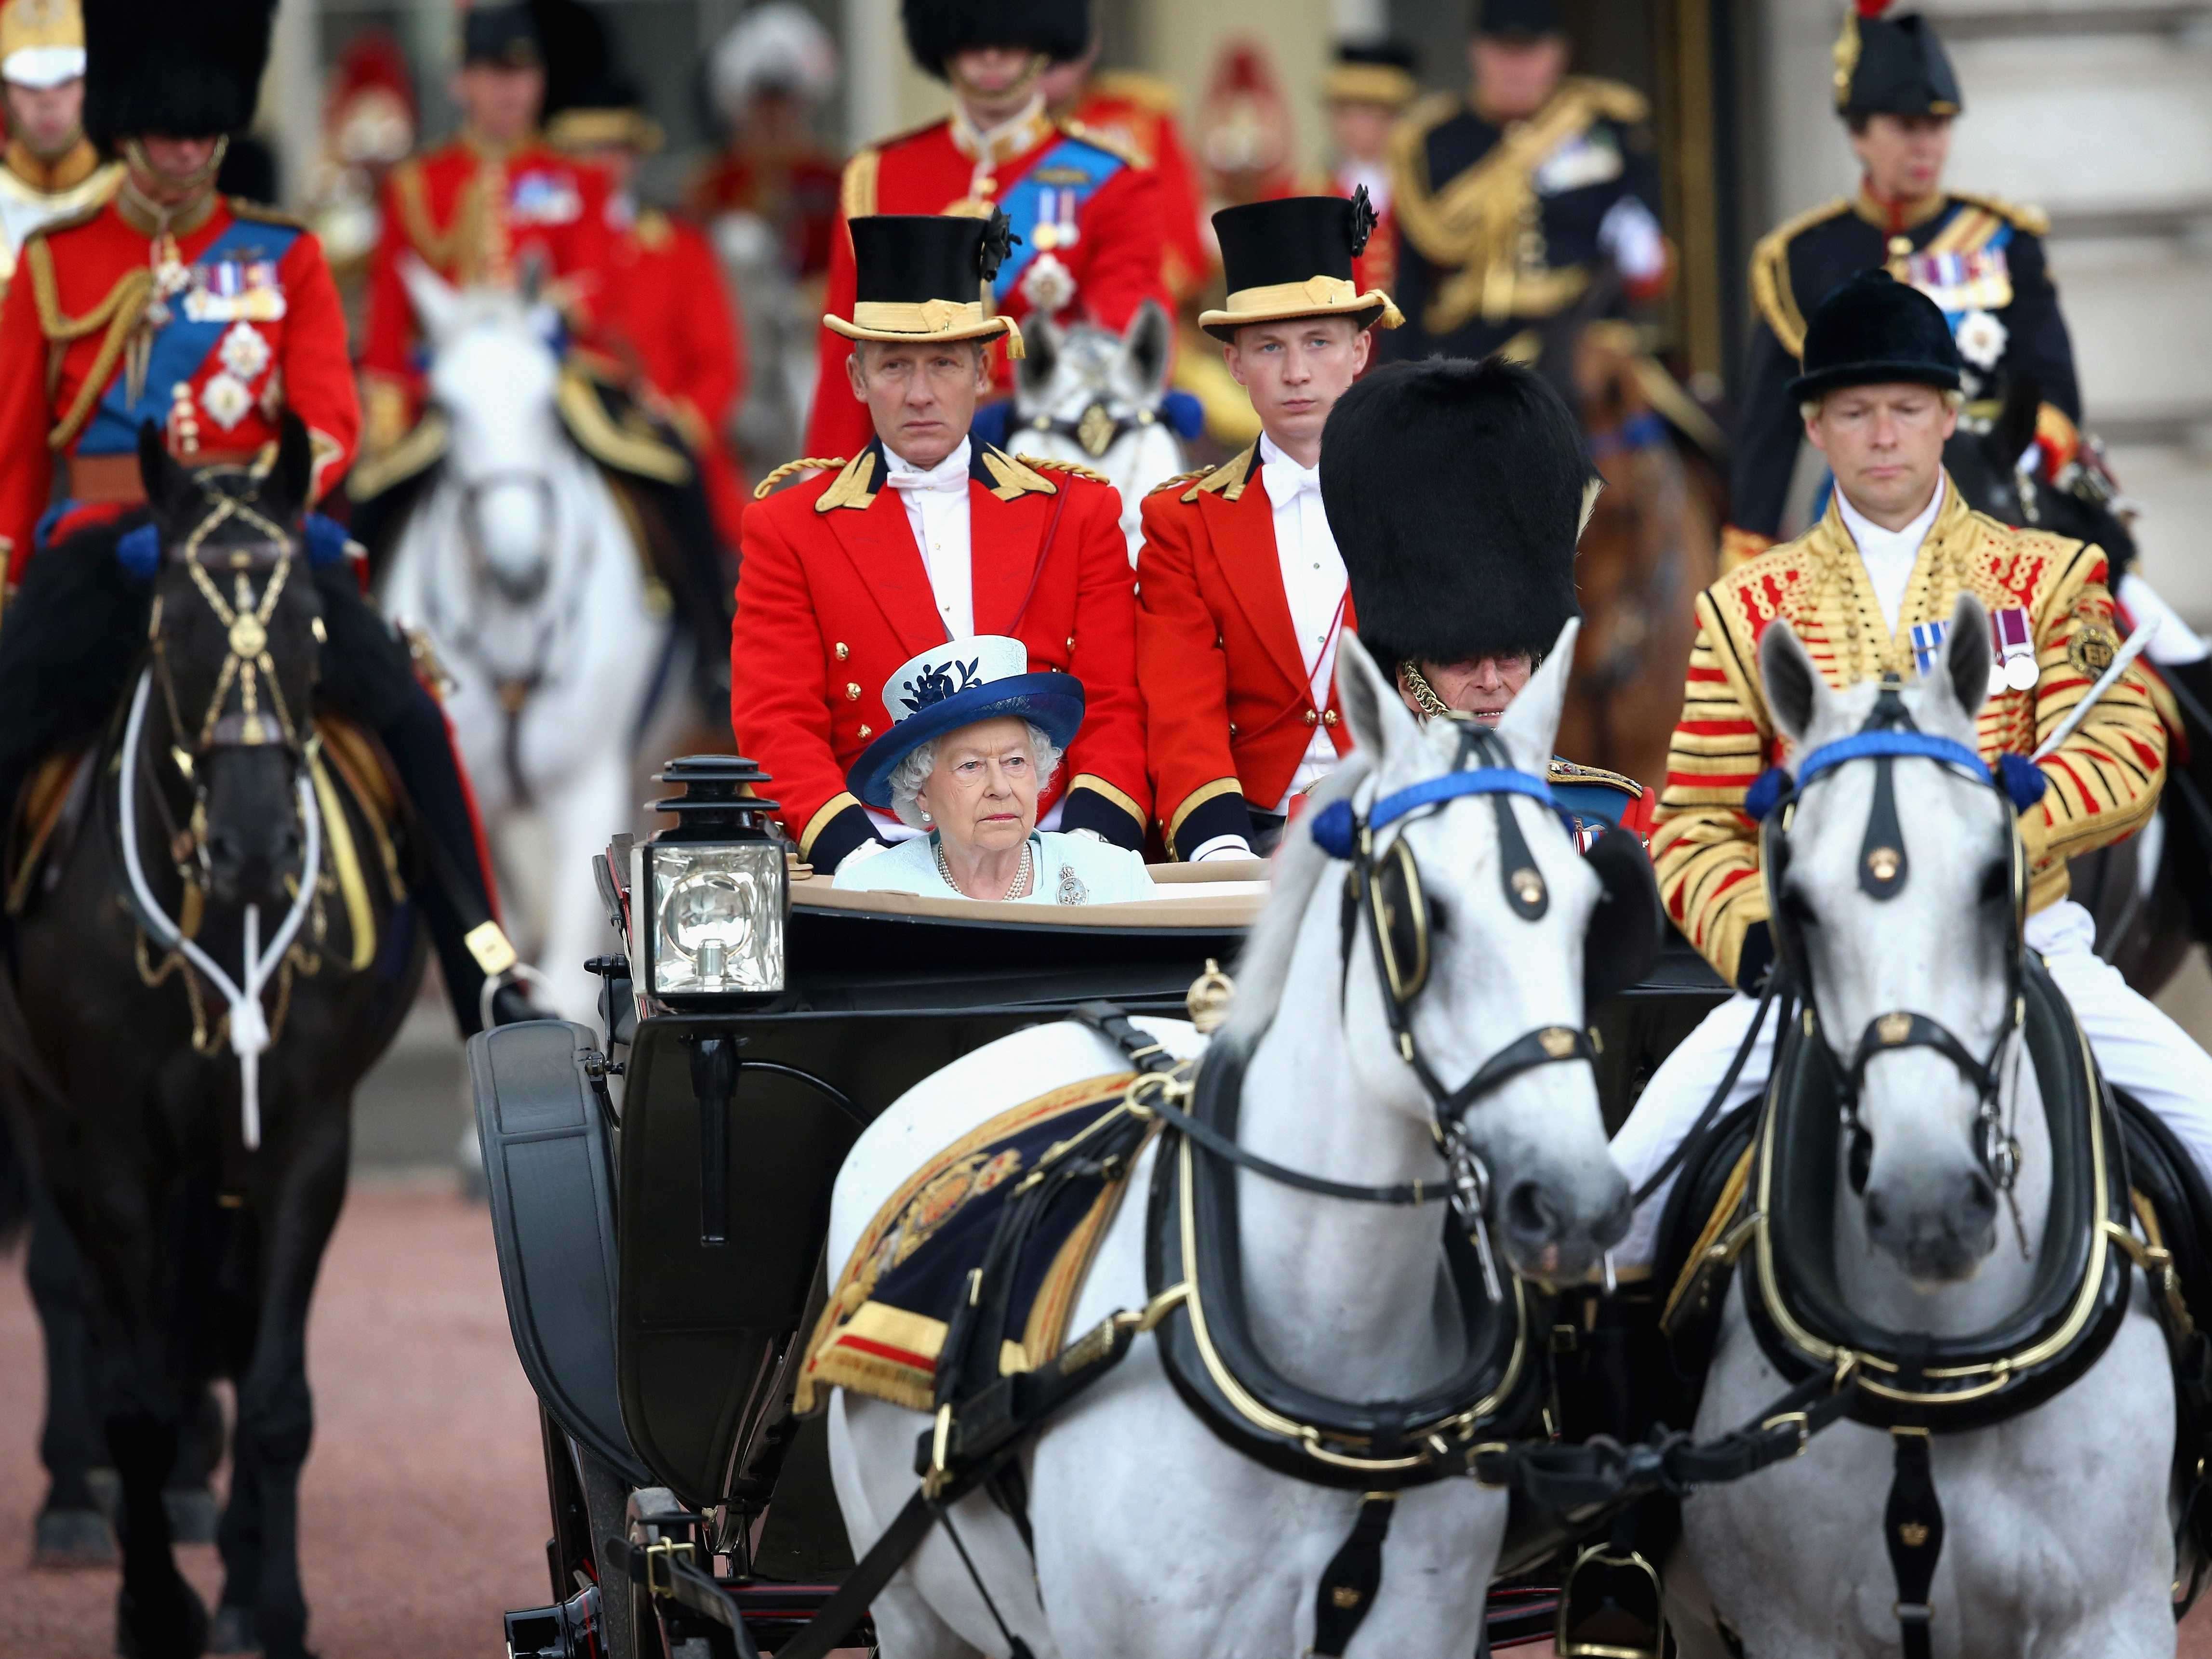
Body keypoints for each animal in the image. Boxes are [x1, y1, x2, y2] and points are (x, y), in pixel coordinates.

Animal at [0, 422, 429, 1654]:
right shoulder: (111, 1141)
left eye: (308, 625)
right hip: (43, 1102)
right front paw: (155, 1605)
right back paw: (76, 1495)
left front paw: (264, 1599)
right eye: (173, 628)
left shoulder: (305, 1134)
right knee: (77, 1289)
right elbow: (135, 1393)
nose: (254, 843)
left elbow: (276, 1388)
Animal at [1672, 597, 2159, 1659]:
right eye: (1797, 902)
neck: (1934, 1366)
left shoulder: (2110, 1616)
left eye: (1990, 878)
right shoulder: (1788, 1625)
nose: (1928, 1202)